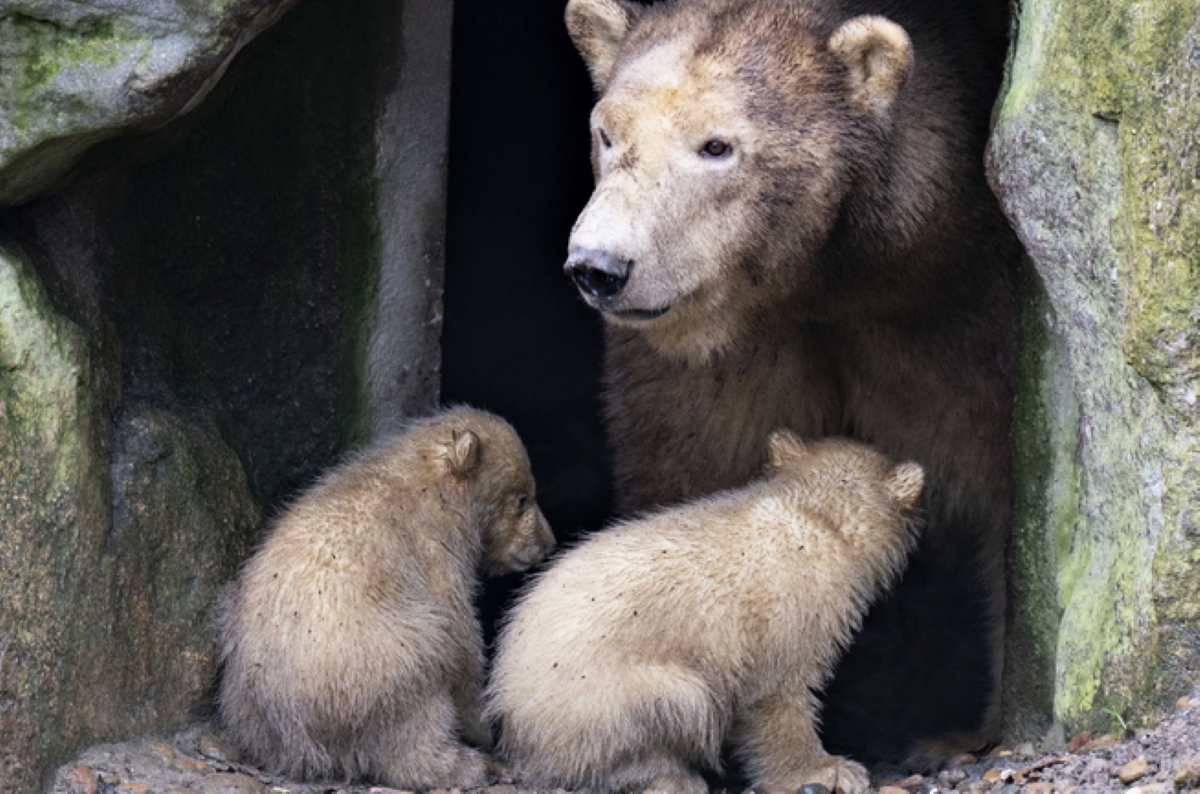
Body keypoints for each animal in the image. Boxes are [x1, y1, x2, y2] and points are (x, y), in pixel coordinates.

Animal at [561, 0, 1022, 767]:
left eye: (716, 145)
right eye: (606, 131)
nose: (600, 266)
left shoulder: (957, 317)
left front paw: (972, 732)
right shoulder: (723, 359)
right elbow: (690, 467)